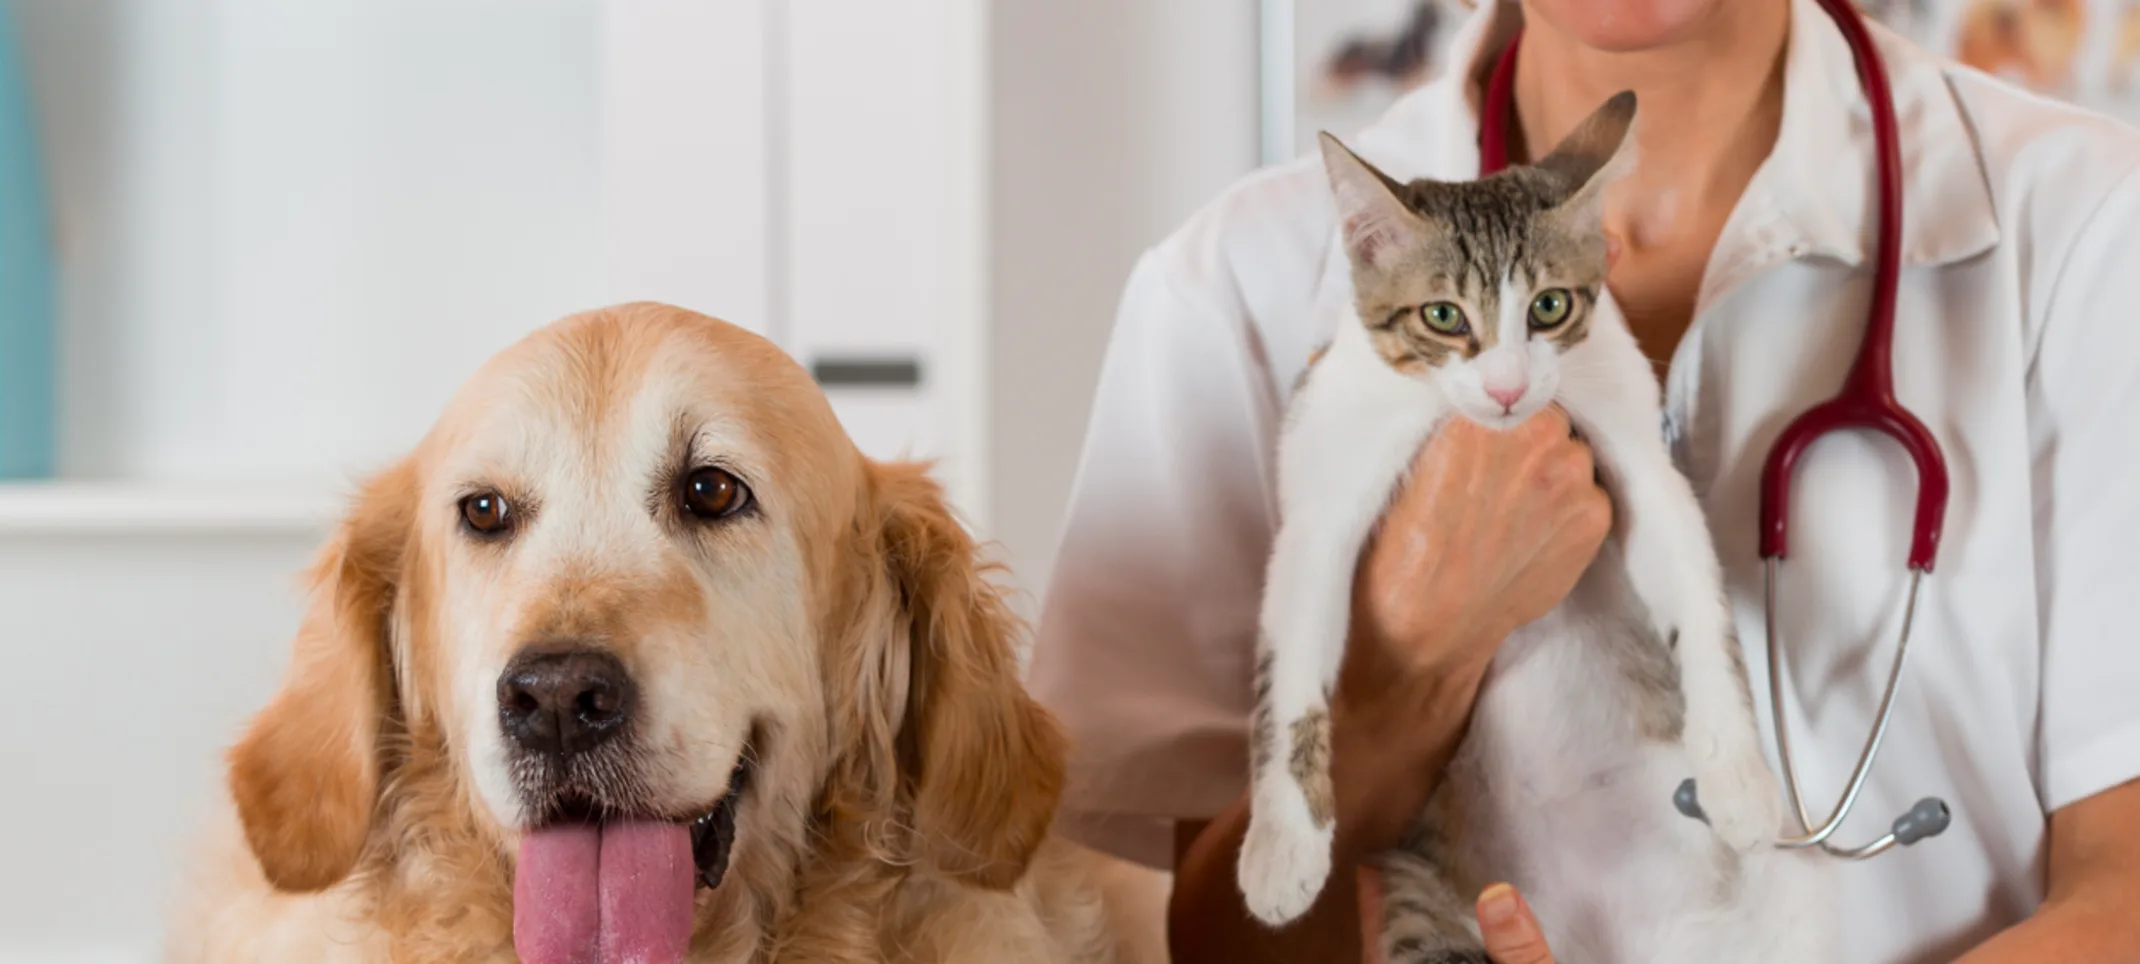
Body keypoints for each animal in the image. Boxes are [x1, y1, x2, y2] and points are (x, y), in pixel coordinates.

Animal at [1249, 92, 1831, 964]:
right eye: (1443, 316)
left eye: (1549, 306)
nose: (1507, 388)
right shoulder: (1321, 487)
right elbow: (1288, 687)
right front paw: (1282, 849)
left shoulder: (1636, 453)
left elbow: (1701, 602)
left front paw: (1737, 773)